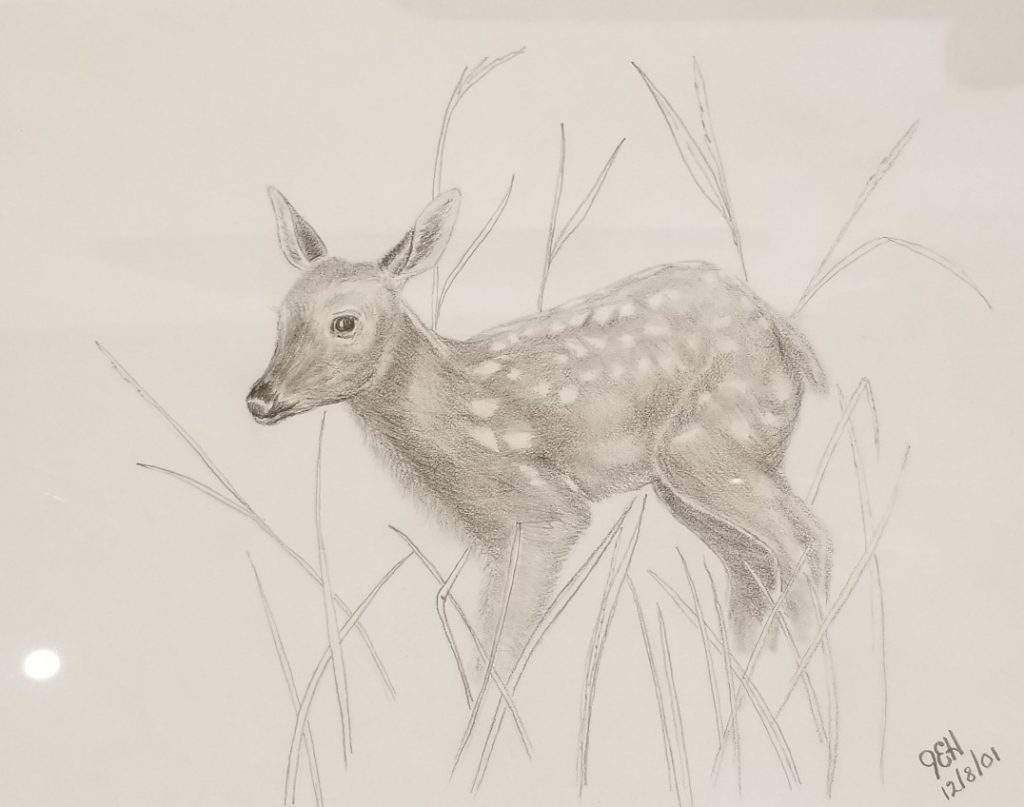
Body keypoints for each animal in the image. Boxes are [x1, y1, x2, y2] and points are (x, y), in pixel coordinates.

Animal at [247, 186, 831, 673]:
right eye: (281, 317)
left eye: (344, 322)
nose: (260, 398)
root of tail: (784, 330)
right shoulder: (496, 533)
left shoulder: (545, 506)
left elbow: (502, 644)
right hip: (688, 480)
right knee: (754, 566)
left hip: (714, 443)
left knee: (805, 541)